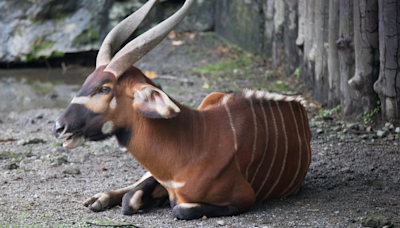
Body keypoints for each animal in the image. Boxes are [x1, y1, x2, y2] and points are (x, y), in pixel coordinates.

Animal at [53, 0, 310, 221]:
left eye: (104, 88)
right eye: (87, 80)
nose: (59, 127)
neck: (194, 143)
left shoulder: (244, 198)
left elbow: (177, 208)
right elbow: (131, 199)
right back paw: (98, 199)